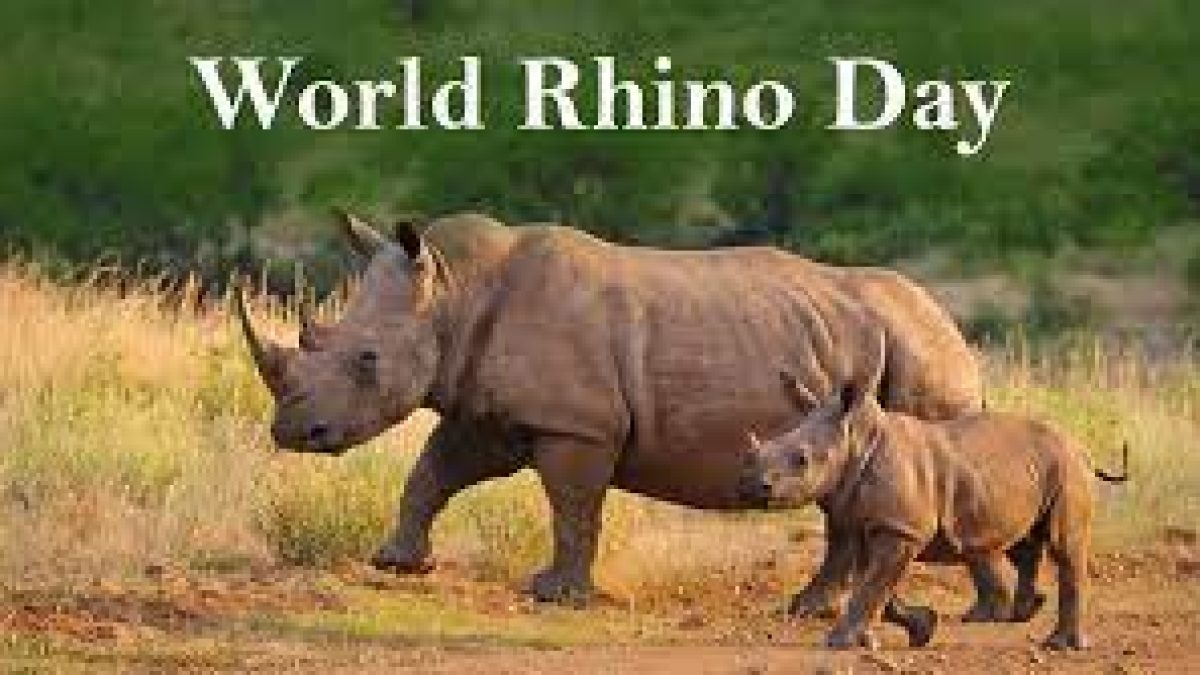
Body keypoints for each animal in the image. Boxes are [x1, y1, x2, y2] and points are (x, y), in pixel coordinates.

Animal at [234, 211, 984, 605]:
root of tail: (957, 332)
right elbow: (432, 472)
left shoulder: (578, 424)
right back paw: (811, 608)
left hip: (920, 358)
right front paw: (397, 563)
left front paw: (554, 593)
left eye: (367, 360)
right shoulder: (487, 410)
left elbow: (572, 507)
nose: (293, 431)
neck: (451, 291)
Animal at [742, 331, 1130, 650]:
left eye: (802, 460)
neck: (857, 439)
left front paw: (840, 643)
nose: (758, 487)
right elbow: (875, 585)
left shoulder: (901, 528)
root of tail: (1081, 448)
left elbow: (874, 585)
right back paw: (1026, 611)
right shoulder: (872, 522)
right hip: (1033, 470)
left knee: (1064, 546)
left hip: (1067, 469)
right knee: (1023, 539)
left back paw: (1060, 645)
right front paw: (918, 629)